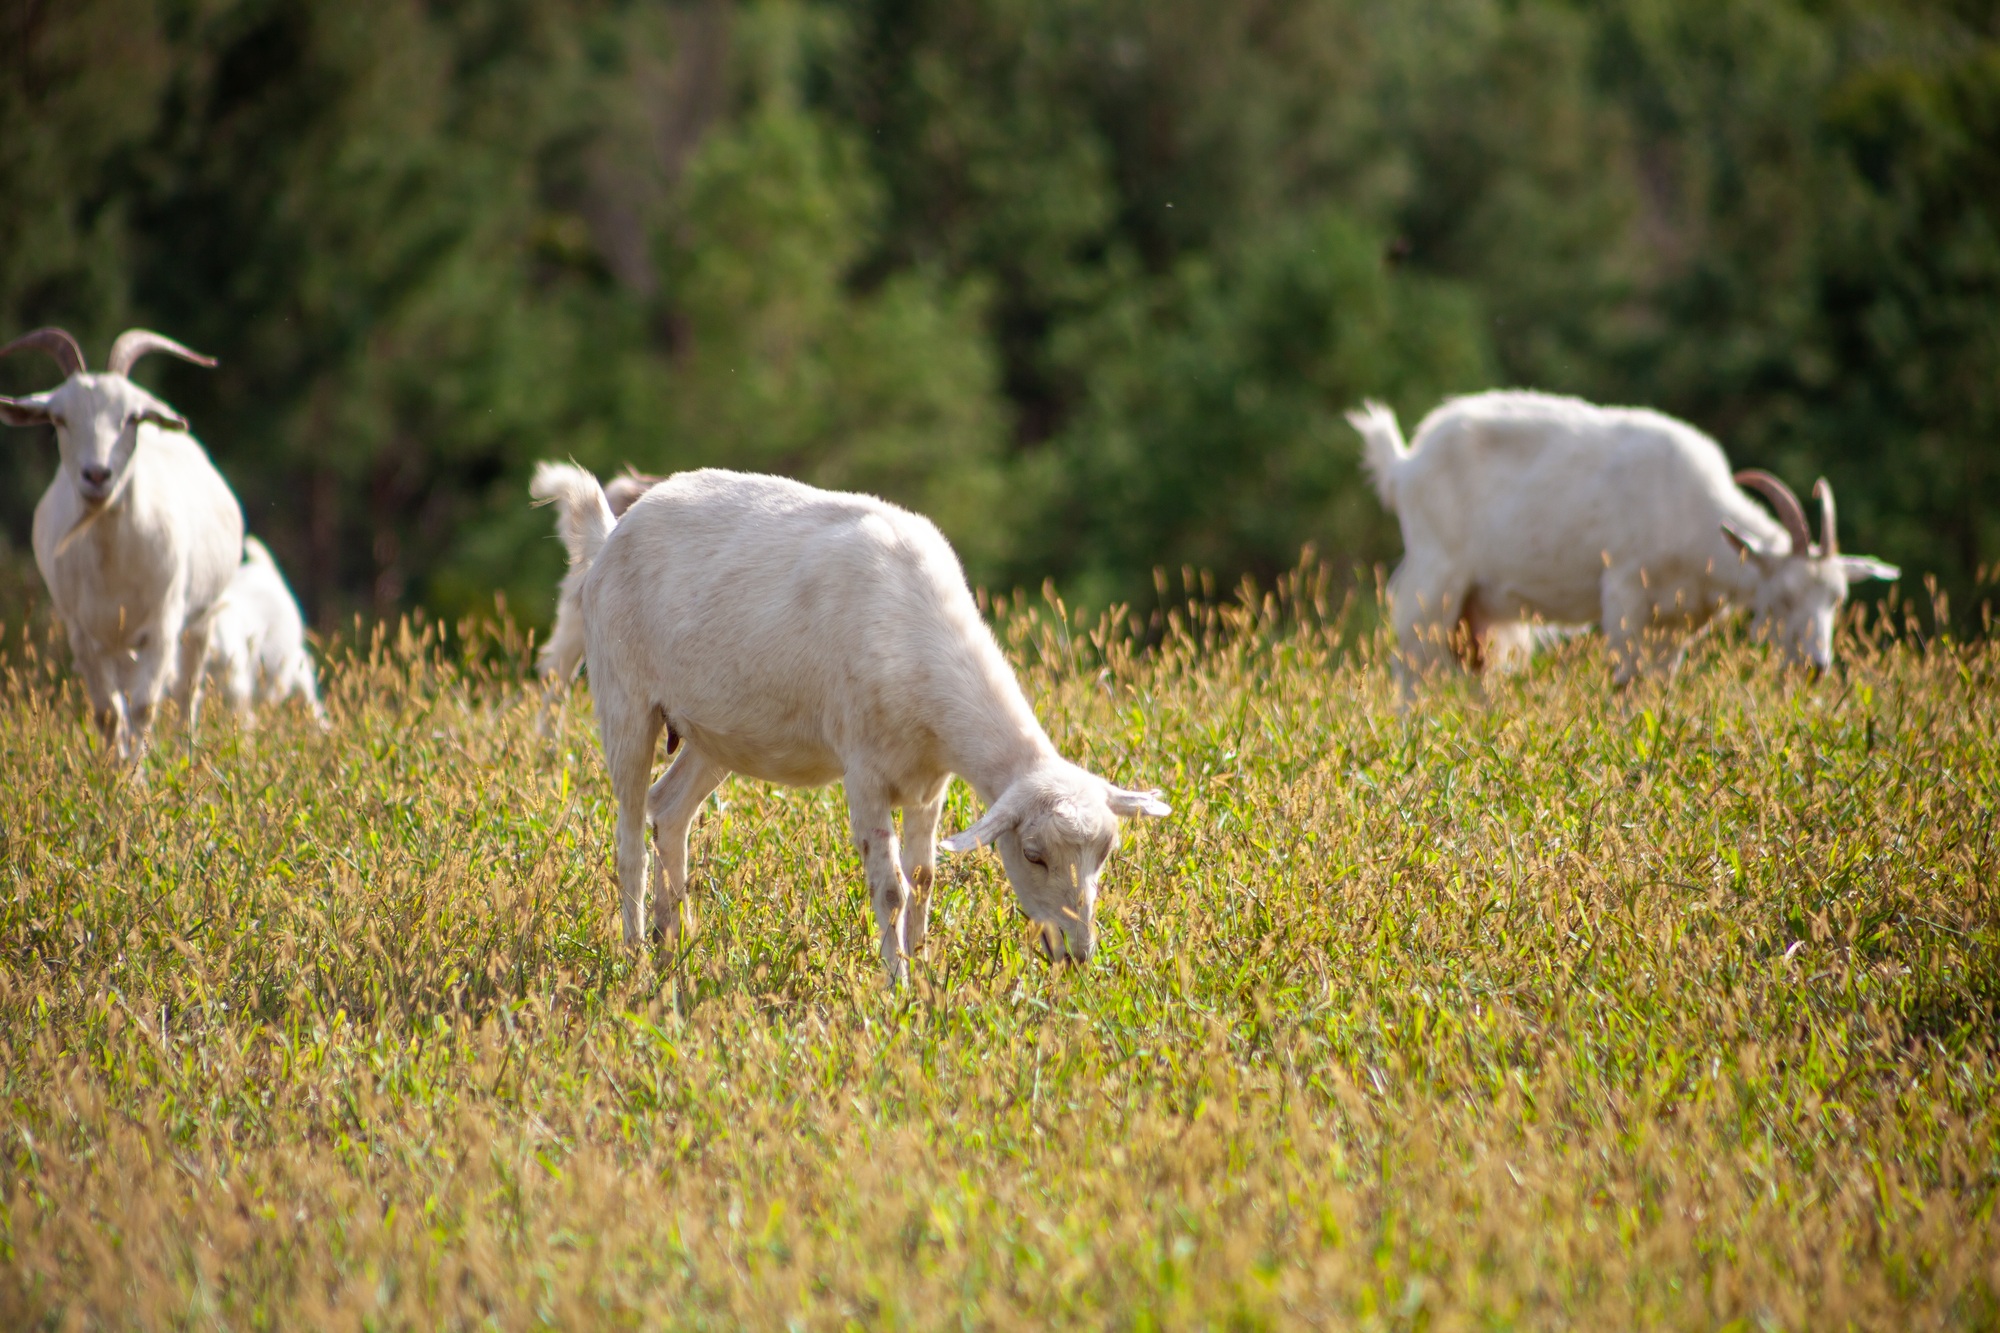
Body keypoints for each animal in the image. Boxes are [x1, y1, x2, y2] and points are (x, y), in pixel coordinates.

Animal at [0, 324, 246, 756]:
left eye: (131, 417)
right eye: (59, 418)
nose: (97, 474)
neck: (113, 563)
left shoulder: (163, 626)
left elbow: (145, 706)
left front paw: (138, 772)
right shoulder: (83, 636)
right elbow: (109, 714)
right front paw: (114, 771)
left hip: (200, 620)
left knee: (187, 692)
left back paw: (186, 755)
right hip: (118, 643)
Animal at [532, 462, 1168, 980]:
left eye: (1105, 854)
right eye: (1033, 855)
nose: (1077, 954)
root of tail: (610, 533)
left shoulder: (930, 782)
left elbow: (925, 876)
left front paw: (925, 970)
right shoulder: (864, 772)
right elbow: (890, 890)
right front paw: (898, 986)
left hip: (718, 731)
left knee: (668, 808)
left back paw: (674, 947)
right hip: (623, 694)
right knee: (629, 839)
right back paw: (636, 956)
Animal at [1352, 390, 1896, 684]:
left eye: (1837, 599)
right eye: (1782, 598)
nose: (1816, 666)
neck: (1693, 515)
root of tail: (1404, 465)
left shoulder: (1675, 624)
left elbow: (1658, 682)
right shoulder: (1624, 592)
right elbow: (1626, 680)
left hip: (1479, 613)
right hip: (1434, 580)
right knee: (1410, 669)